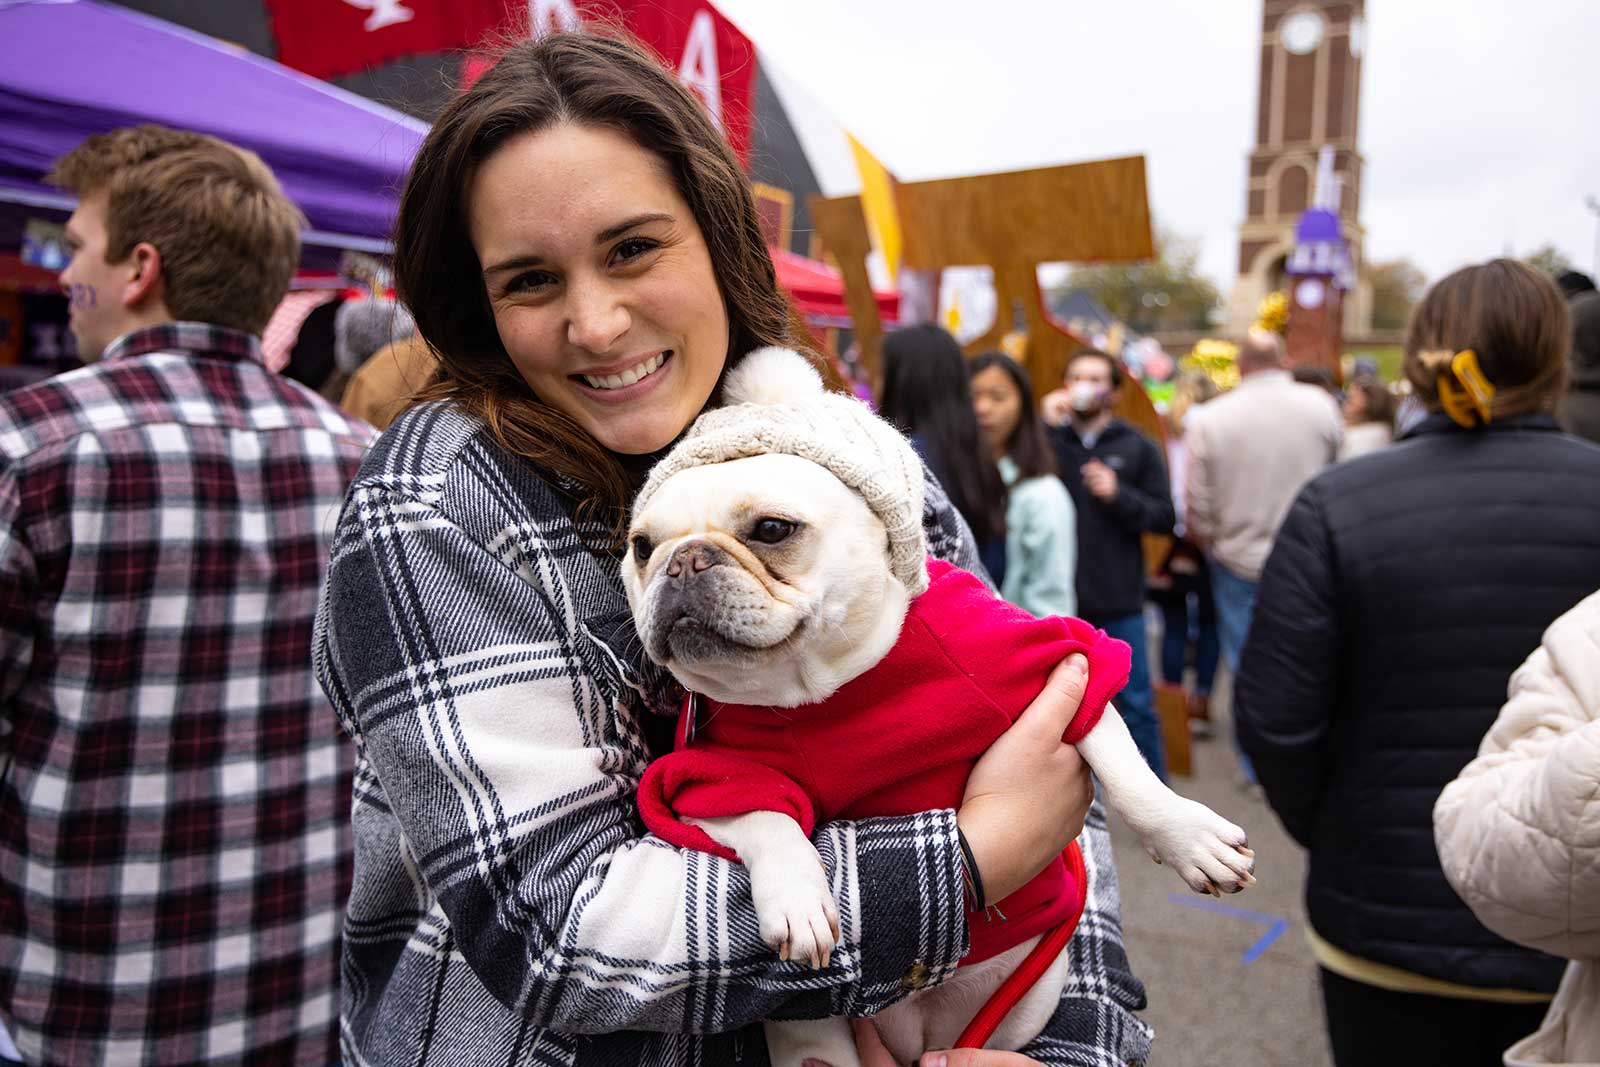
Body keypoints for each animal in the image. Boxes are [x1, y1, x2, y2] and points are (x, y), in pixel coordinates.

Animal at [617, 350, 1254, 1067]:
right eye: (642, 546)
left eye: (773, 530)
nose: (683, 561)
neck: (824, 687)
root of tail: (921, 1034)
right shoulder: (706, 777)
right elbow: (763, 815)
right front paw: (798, 897)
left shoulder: (1055, 662)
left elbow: (1126, 771)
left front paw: (1191, 838)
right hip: (816, 1037)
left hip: (1023, 1004)